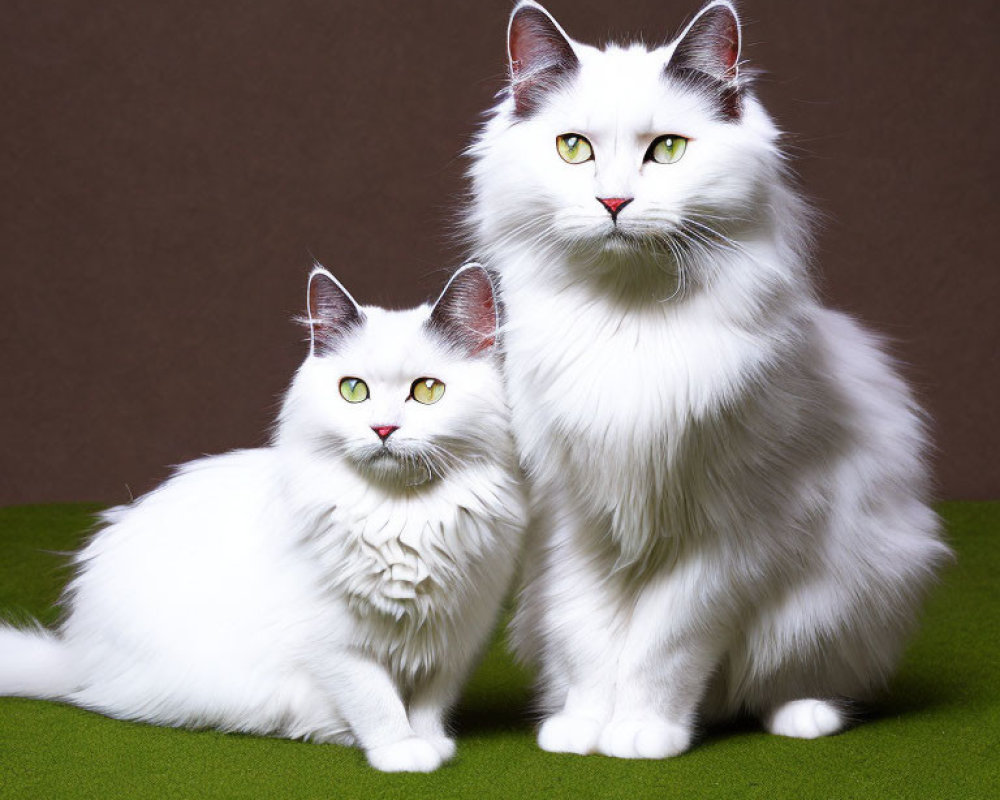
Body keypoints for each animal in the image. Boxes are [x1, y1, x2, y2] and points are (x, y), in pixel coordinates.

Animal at [0, 262, 528, 768]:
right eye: (353, 391)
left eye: (428, 391)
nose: (383, 429)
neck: (400, 515)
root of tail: (77, 657)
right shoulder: (334, 644)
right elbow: (376, 700)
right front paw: (400, 751)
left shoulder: (457, 636)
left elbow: (430, 703)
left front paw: (432, 743)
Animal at [464, 0, 948, 760]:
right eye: (573, 148)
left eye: (667, 150)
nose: (613, 202)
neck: (627, 327)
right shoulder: (573, 522)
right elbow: (588, 638)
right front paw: (583, 728)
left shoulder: (725, 536)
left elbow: (664, 646)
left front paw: (643, 733)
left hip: (845, 598)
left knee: (789, 680)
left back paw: (800, 718)